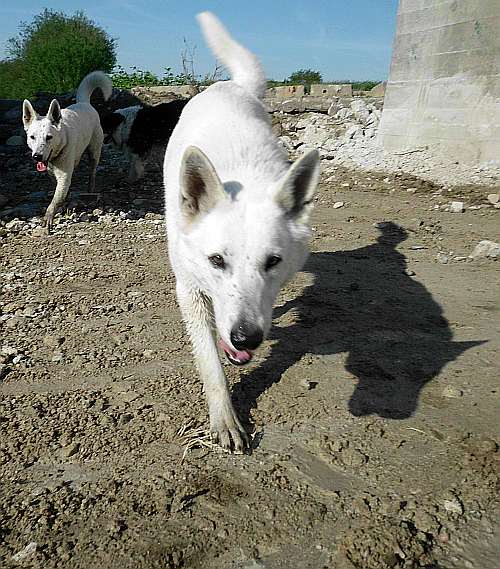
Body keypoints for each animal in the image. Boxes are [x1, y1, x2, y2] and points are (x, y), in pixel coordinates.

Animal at [22, 71, 112, 231]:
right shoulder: (54, 174)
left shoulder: (63, 176)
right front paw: (62, 206)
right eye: (32, 137)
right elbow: (59, 194)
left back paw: (90, 190)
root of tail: (85, 103)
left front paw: (49, 217)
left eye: (49, 137)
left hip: (94, 152)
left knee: (92, 172)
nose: (37, 156)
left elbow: (55, 201)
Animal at [164, 11, 320, 450]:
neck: (243, 176)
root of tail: (231, 84)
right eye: (216, 260)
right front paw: (225, 419)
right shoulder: (189, 290)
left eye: (273, 262)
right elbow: (211, 365)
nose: (246, 339)